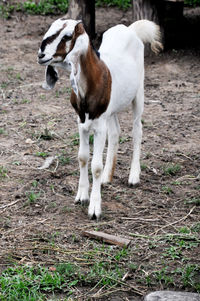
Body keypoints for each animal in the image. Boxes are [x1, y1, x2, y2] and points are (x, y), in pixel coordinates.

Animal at [37, 18, 162, 218]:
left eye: (67, 36)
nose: (41, 55)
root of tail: (130, 29)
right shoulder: (81, 122)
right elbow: (82, 157)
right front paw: (81, 196)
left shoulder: (99, 126)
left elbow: (96, 165)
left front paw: (95, 207)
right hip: (111, 111)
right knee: (116, 132)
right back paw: (106, 177)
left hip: (138, 94)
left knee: (137, 130)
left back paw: (134, 176)